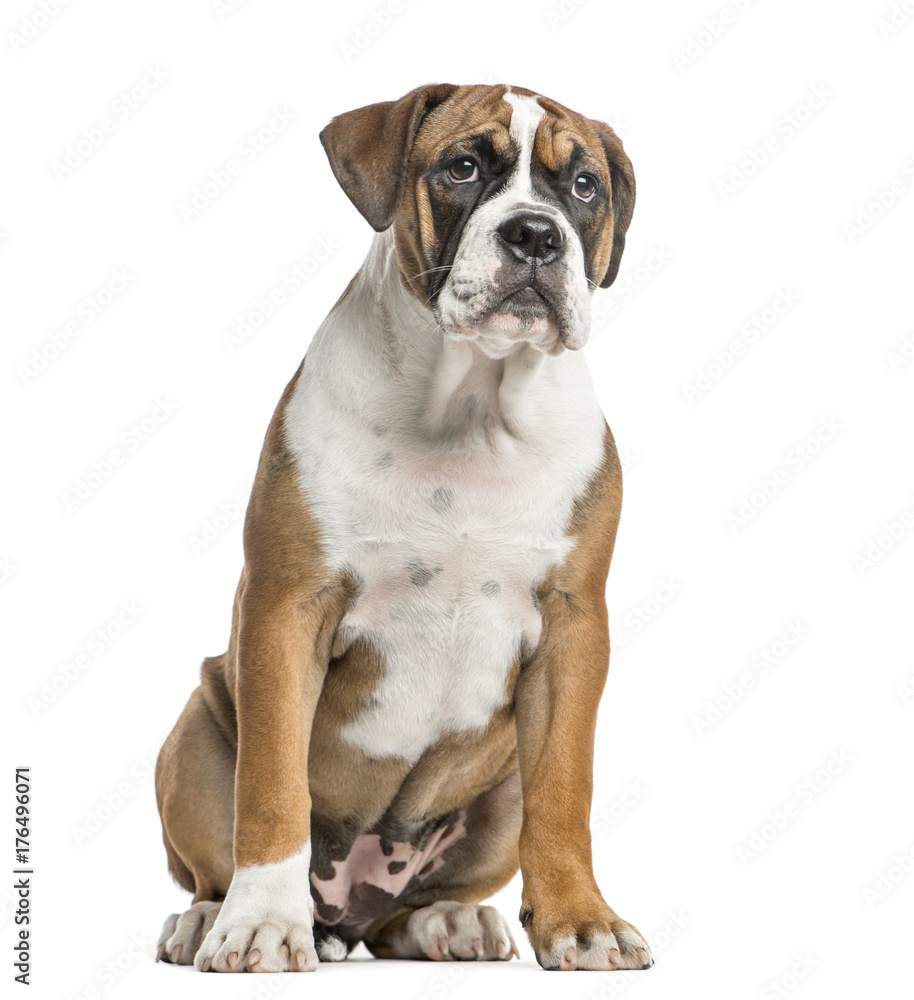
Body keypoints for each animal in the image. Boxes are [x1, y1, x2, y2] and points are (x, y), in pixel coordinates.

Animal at [153, 82, 648, 972]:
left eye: (585, 187)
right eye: (461, 169)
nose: (535, 234)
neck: (471, 402)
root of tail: (346, 908)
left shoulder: (573, 629)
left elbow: (566, 792)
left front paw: (582, 922)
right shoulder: (286, 611)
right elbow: (271, 789)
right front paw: (262, 925)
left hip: (496, 794)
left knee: (403, 911)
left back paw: (447, 921)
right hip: (197, 734)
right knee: (216, 858)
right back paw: (211, 920)